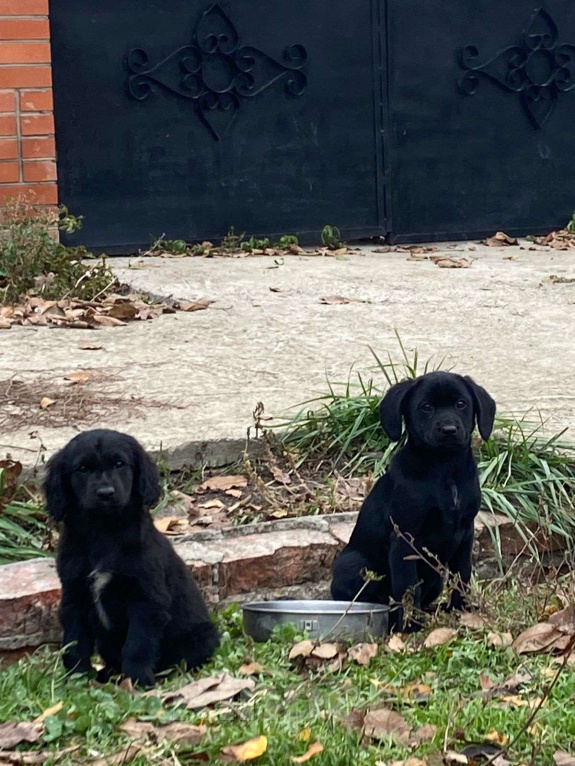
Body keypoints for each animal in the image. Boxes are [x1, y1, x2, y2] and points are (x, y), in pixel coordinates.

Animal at [44, 428, 220, 688]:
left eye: (120, 464)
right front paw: (77, 678)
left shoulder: (146, 602)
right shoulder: (74, 597)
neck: (104, 532)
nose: (106, 493)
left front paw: (138, 680)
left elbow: (137, 645)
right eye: (82, 468)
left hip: (202, 637)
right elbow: (75, 641)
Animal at [330, 370, 498, 632]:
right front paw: (411, 625)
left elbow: (462, 575)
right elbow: (408, 585)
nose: (449, 429)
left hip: (436, 577)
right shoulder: (405, 539)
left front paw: (461, 611)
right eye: (426, 407)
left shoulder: (465, 534)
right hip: (353, 564)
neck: (445, 468)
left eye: (461, 404)